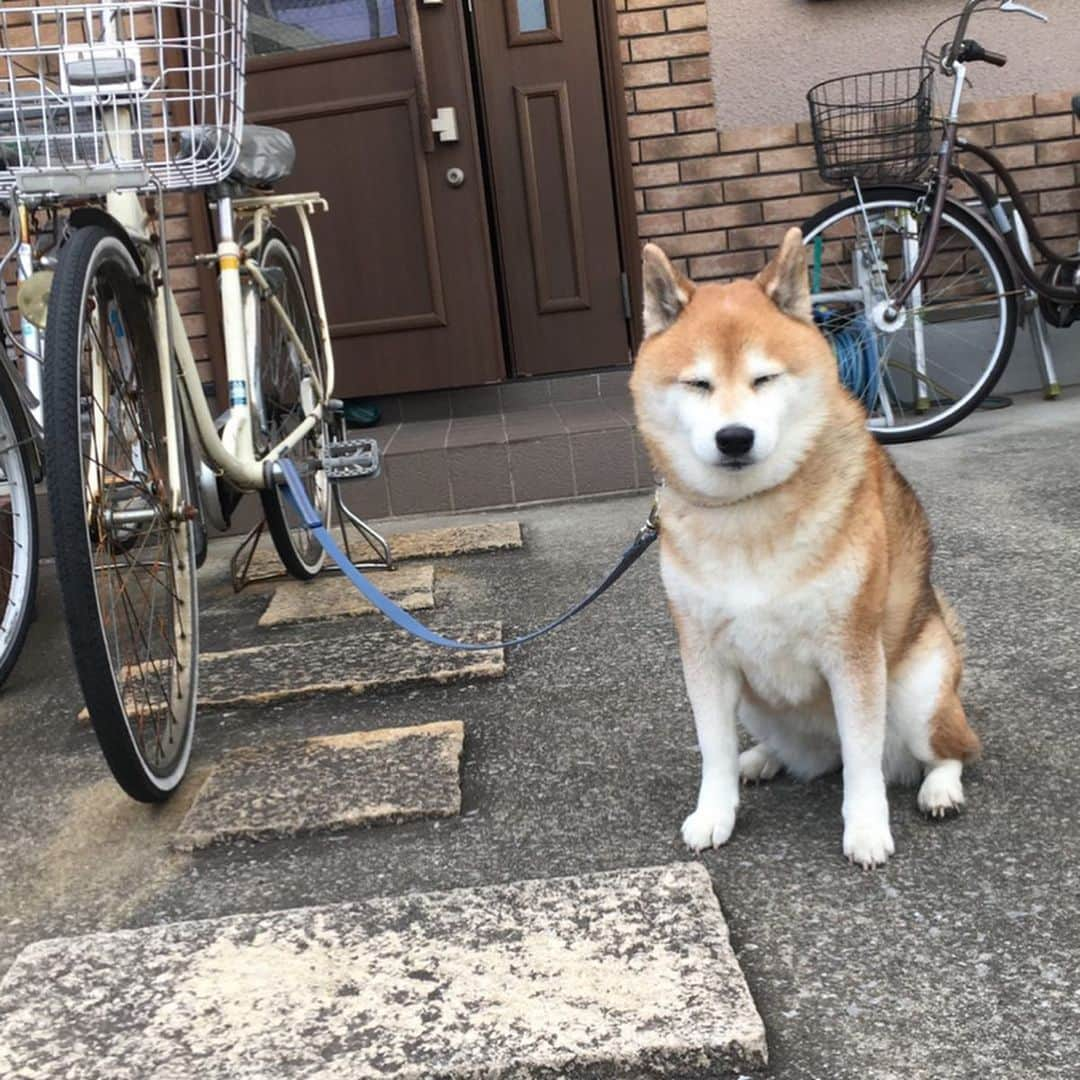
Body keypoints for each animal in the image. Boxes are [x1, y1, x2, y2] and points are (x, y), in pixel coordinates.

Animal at [630, 230, 980, 868]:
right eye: (698, 383)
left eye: (765, 379)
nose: (734, 437)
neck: (751, 511)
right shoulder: (704, 653)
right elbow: (712, 749)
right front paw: (714, 812)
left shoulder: (852, 651)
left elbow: (864, 764)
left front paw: (866, 829)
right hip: (755, 702)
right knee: (805, 757)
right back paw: (760, 760)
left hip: (918, 693)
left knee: (949, 750)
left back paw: (940, 789)